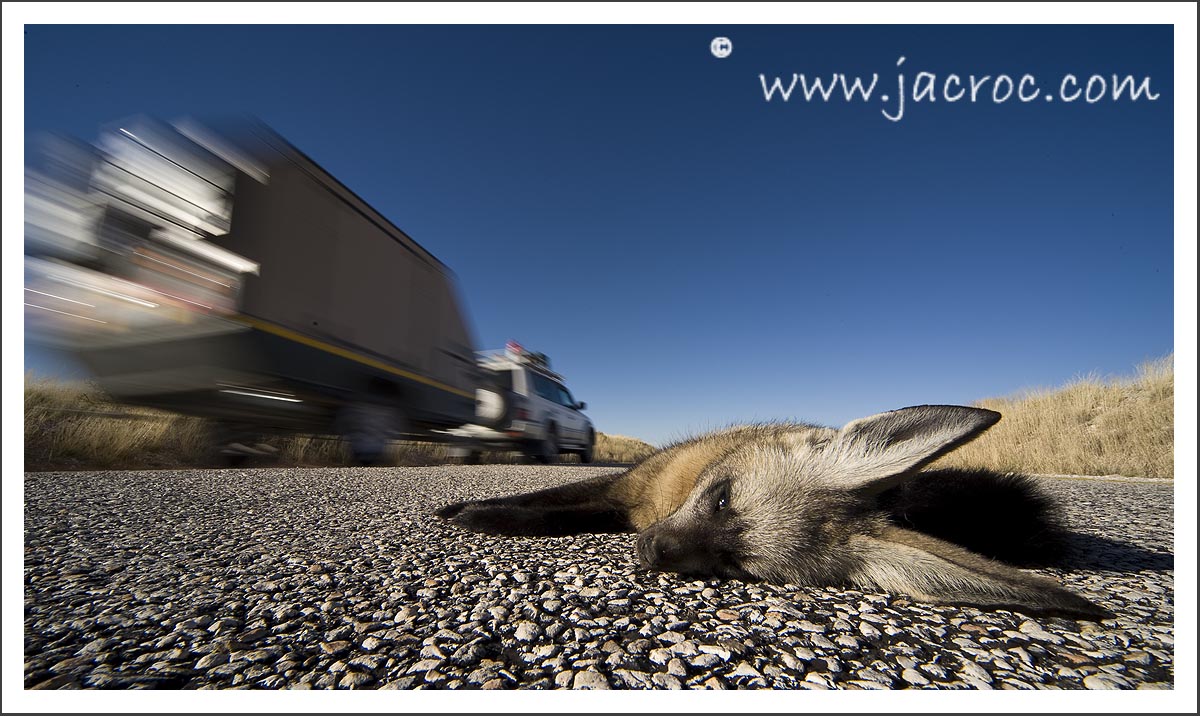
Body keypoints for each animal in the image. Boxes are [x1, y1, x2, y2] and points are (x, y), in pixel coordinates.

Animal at [436, 405, 1112, 620]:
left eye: (735, 565)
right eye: (721, 498)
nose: (651, 553)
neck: (665, 499)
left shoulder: (624, 505)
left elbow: (555, 513)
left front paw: (480, 515)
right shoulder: (624, 488)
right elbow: (542, 502)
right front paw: (470, 509)